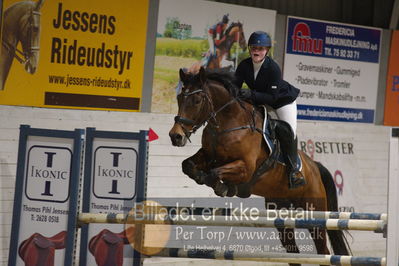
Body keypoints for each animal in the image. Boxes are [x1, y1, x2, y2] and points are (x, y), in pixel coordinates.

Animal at [169, 67, 350, 264]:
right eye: (179, 98)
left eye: (197, 100)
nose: (175, 136)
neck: (227, 123)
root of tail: (315, 166)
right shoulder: (209, 156)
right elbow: (188, 165)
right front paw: (206, 179)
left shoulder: (246, 168)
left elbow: (214, 173)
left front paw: (224, 188)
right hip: (281, 211)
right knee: (292, 251)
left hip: (314, 212)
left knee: (323, 250)